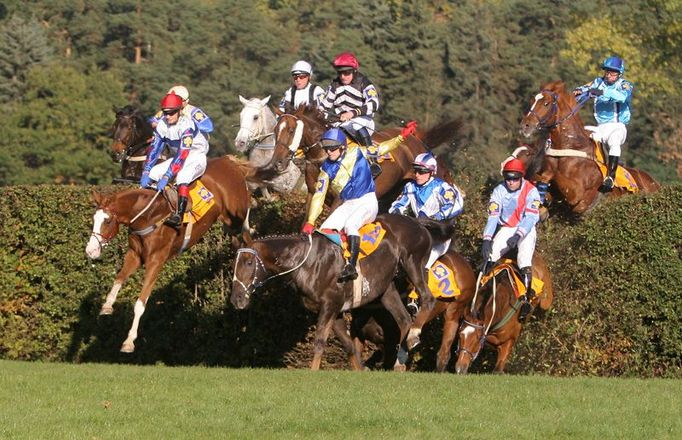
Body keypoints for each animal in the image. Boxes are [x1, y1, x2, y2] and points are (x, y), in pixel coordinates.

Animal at [86, 156, 252, 352]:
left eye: (107, 220)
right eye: (94, 219)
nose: (90, 250)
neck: (148, 215)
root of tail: (229, 161)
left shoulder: (155, 260)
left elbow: (140, 303)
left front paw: (129, 341)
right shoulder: (135, 254)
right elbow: (119, 278)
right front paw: (107, 305)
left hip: (237, 216)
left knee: (249, 234)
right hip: (229, 225)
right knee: (237, 242)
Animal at [228, 213, 446, 372]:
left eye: (249, 262)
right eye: (234, 264)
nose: (236, 298)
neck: (306, 262)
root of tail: (416, 221)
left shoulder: (330, 305)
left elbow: (319, 341)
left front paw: (312, 373)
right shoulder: (334, 310)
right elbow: (349, 346)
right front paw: (361, 370)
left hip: (412, 263)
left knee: (427, 298)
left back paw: (414, 335)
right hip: (386, 289)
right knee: (403, 319)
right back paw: (400, 361)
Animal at [262, 105, 460, 211]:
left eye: (291, 130)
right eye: (275, 130)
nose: (277, 163)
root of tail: (416, 138)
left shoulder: (342, 198)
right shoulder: (313, 193)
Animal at [516, 80, 656, 215]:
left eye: (546, 103)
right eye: (532, 101)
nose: (525, 126)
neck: (569, 146)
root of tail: (653, 181)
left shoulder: (577, 194)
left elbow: (553, 175)